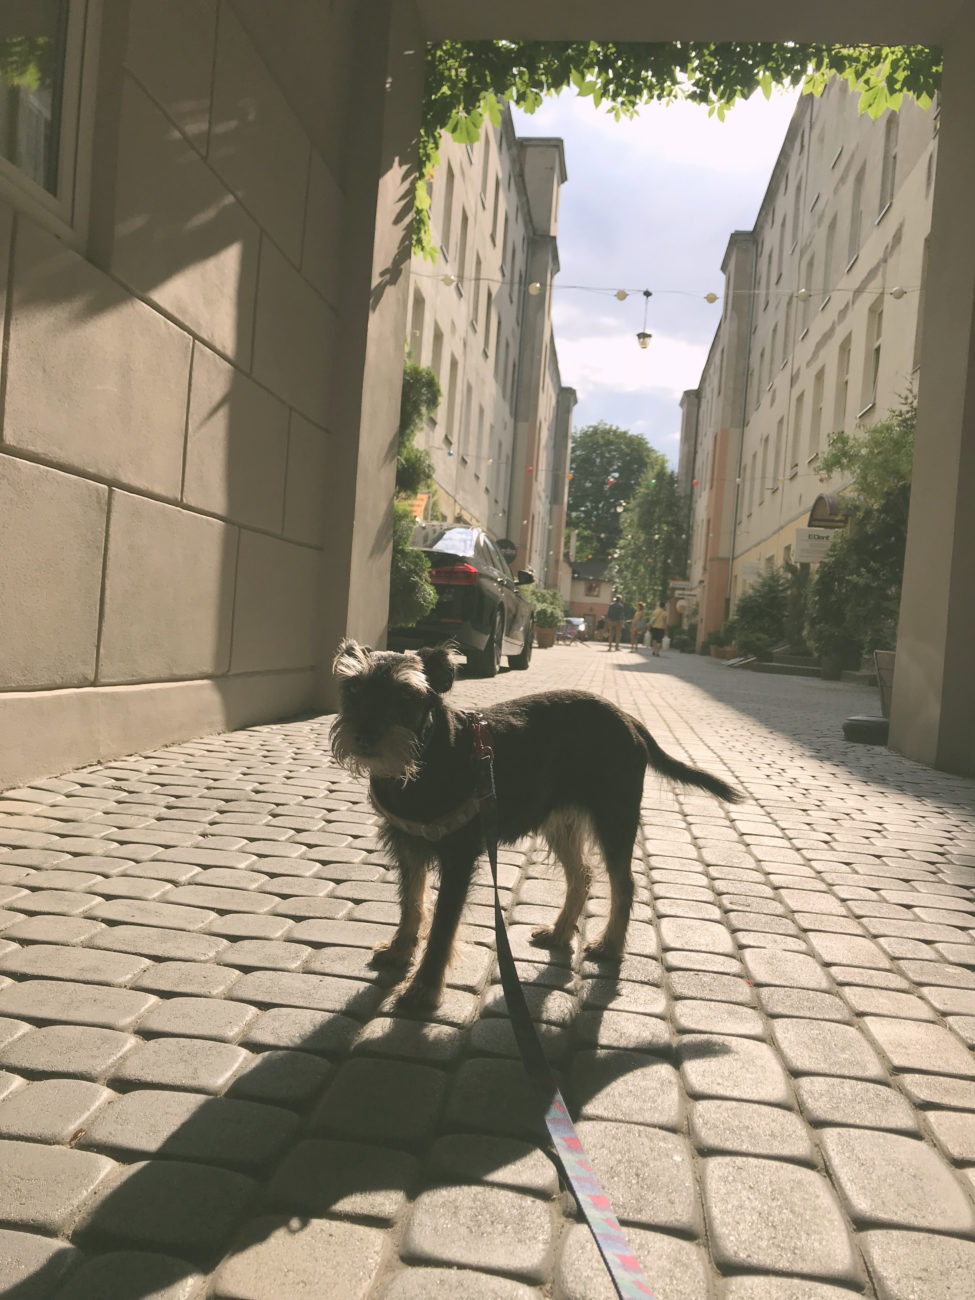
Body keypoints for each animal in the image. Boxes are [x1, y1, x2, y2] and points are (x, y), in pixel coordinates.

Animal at [330, 639, 741, 1006]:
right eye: (353, 689)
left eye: (405, 696)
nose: (365, 735)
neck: (429, 755)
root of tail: (629, 719)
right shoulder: (408, 847)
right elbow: (412, 904)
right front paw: (400, 951)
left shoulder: (458, 860)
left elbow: (443, 927)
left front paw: (423, 988)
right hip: (561, 824)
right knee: (581, 875)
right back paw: (560, 932)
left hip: (615, 819)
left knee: (623, 884)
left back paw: (609, 944)